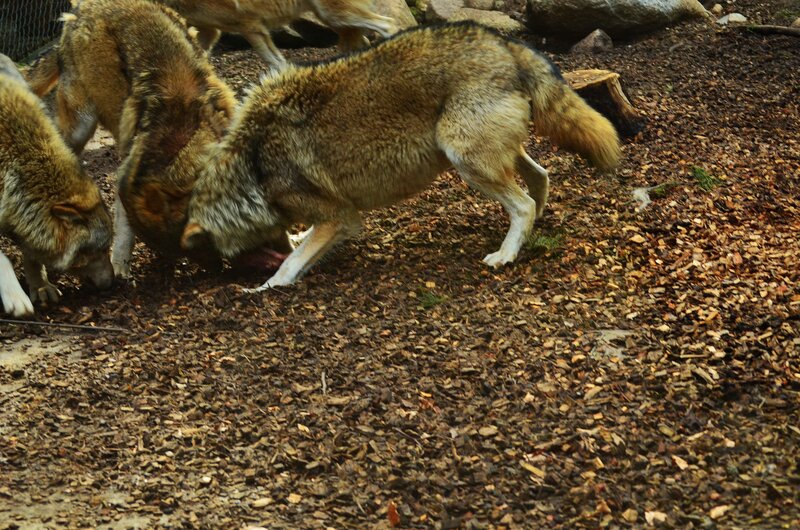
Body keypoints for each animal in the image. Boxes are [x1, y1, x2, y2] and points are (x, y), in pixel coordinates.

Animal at [0, 54, 113, 317]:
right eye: (100, 250)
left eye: (108, 248)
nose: (113, 282)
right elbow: (4, 260)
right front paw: (16, 298)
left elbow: (32, 256)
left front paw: (41, 286)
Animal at [27, 0, 291, 278]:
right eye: (198, 246)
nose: (218, 270)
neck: (183, 138)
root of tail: (83, 6)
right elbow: (124, 230)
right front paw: (121, 268)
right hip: (81, 125)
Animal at [157, 0, 396, 70]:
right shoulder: (210, 30)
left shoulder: (251, 26)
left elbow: (276, 62)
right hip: (335, 20)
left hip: (337, 15)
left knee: (389, 26)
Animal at [181, 22, 622, 292]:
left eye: (210, 252)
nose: (207, 275)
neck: (253, 165)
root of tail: (504, 42)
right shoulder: (331, 217)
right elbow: (303, 247)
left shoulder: (342, 218)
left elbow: (289, 266)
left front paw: (264, 287)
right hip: (490, 155)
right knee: (541, 179)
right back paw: (533, 230)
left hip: (464, 159)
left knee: (524, 203)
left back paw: (505, 255)